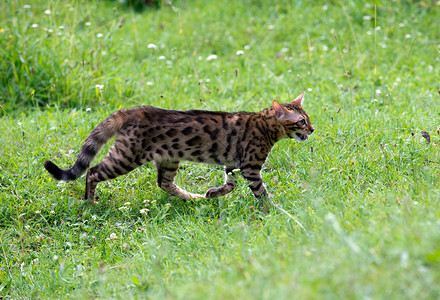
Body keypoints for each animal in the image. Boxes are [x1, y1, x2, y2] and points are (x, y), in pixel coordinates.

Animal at [43, 92, 312, 212]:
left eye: (307, 118)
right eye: (300, 122)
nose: (312, 129)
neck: (264, 125)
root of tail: (133, 110)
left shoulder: (233, 164)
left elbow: (230, 183)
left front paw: (214, 193)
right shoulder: (250, 165)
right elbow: (261, 191)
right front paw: (273, 210)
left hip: (169, 158)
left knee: (164, 183)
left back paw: (193, 198)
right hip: (126, 157)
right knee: (92, 172)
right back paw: (89, 202)